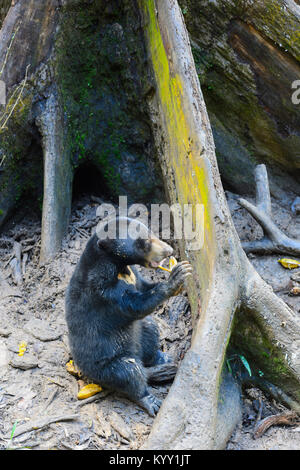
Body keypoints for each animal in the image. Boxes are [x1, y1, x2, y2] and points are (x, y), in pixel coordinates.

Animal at [65, 217, 192, 414]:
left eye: (151, 232)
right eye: (144, 242)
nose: (169, 250)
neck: (119, 267)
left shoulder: (132, 274)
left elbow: (143, 286)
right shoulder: (103, 292)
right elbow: (135, 304)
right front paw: (176, 277)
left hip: (139, 334)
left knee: (149, 329)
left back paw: (163, 357)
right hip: (107, 364)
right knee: (130, 372)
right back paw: (150, 400)